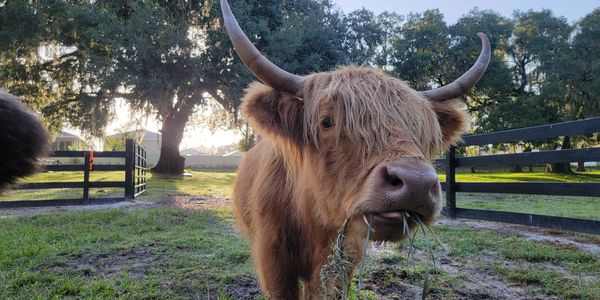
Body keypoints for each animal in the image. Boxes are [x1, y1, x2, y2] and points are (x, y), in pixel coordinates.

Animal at [220, 0, 492, 298]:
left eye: (422, 132)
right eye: (327, 121)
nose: (417, 184)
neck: (311, 220)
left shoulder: (344, 258)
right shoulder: (274, 263)